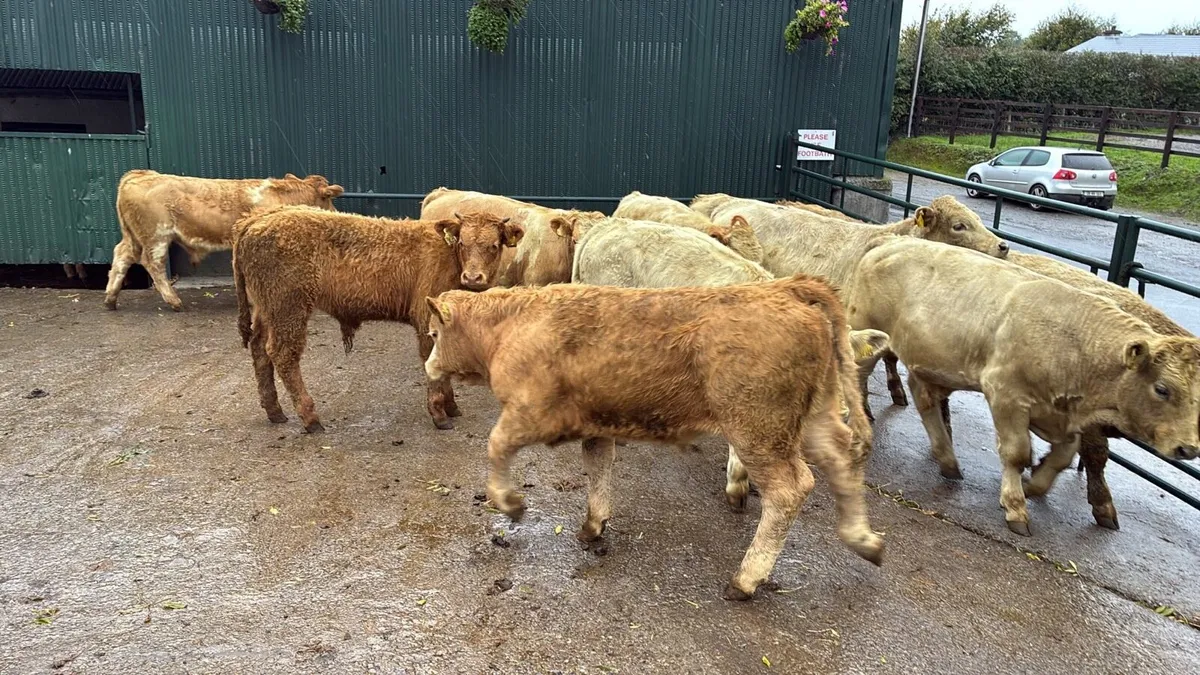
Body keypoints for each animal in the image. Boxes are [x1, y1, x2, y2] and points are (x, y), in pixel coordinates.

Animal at [105, 170, 344, 311]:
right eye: (328, 199)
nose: (336, 213)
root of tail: (141, 174)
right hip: (156, 236)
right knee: (152, 263)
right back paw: (174, 301)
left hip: (134, 237)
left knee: (122, 256)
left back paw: (111, 299)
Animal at [232, 205, 521, 432]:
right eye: (462, 243)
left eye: (494, 246)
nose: (472, 278)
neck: (449, 257)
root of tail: (256, 220)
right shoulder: (426, 321)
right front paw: (440, 414)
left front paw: (451, 406)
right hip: (289, 308)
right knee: (282, 354)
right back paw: (310, 418)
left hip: (267, 309)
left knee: (260, 350)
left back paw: (275, 411)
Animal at [422, 276, 885, 600]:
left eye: (434, 334)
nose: (427, 366)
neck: (511, 325)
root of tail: (786, 287)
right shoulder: (597, 426)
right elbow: (598, 469)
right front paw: (593, 525)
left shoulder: (528, 415)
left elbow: (496, 445)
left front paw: (510, 503)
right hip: (813, 418)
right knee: (841, 458)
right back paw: (863, 539)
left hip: (759, 431)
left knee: (790, 489)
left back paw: (746, 579)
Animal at [843, 237, 1200, 535]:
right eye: (1162, 389)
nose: (1188, 448)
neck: (1076, 342)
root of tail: (891, 240)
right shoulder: (1006, 396)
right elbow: (1017, 453)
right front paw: (1016, 507)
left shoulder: (1063, 416)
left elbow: (1062, 457)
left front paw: (1033, 485)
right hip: (866, 334)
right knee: (859, 379)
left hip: (932, 364)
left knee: (925, 399)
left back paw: (948, 460)